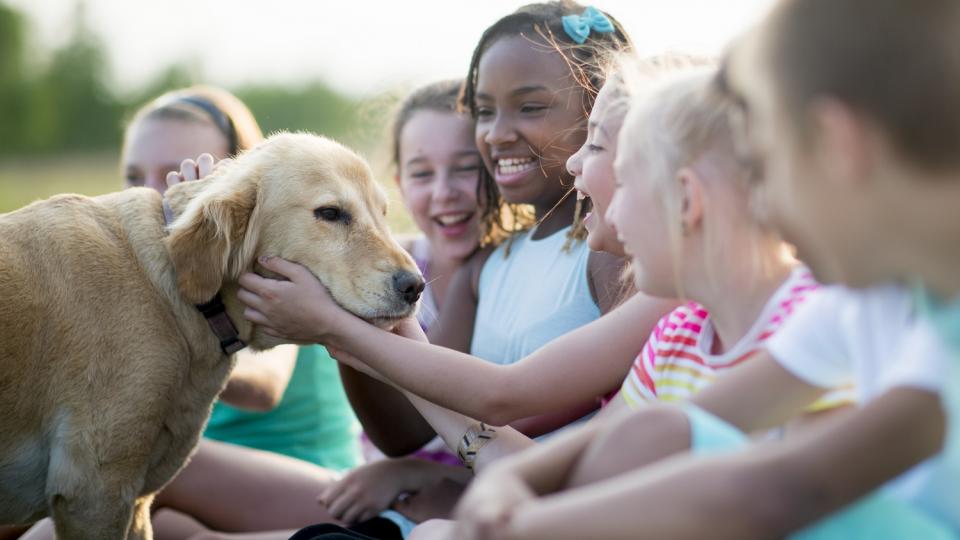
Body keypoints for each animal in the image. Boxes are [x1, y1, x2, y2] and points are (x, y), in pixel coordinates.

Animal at [0, 133, 424, 536]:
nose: (415, 286)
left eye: (383, 213)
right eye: (330, 213)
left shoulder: (132, 501)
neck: (177, 292)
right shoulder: (94, 493)